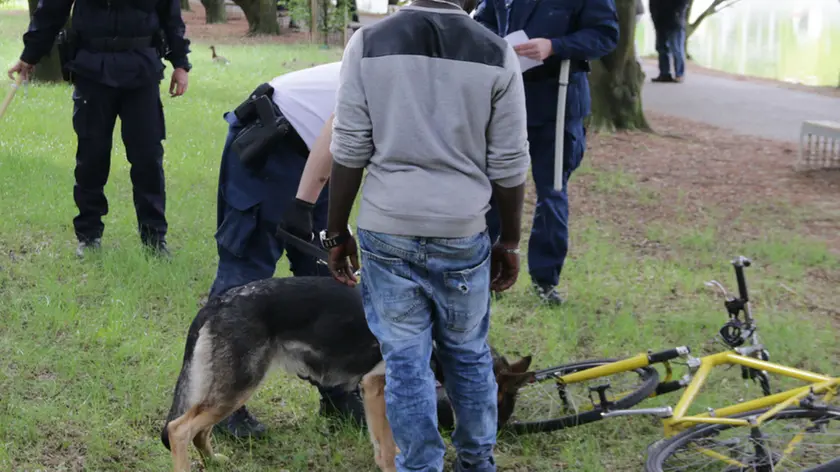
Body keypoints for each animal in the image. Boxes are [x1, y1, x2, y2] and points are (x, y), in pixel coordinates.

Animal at [161, 274, 536, 470]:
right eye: (494, 411)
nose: (497, 440)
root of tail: (217, 302)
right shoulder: (377, 387)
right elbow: (389, 445)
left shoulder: (374, 392)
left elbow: (384, 442)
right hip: (238, 387)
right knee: (179, 429)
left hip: (229, 390)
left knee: (199, 430)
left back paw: (213, 460)